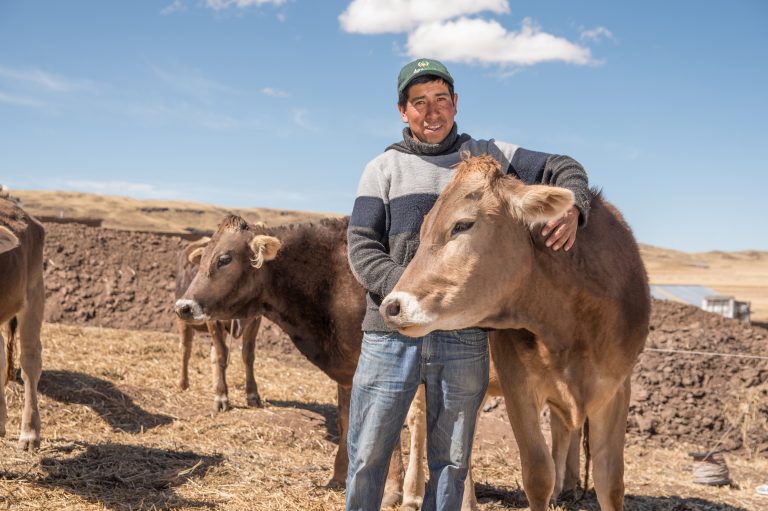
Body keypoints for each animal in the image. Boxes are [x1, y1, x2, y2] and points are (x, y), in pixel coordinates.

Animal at [173, 238, 262, 414]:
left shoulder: (255, 319)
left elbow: (248, 355)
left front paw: (252, 394)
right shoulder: (213, 321)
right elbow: (221, 354)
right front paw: (221, 397)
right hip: (183, 319)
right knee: (185, 349)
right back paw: (183, 383)